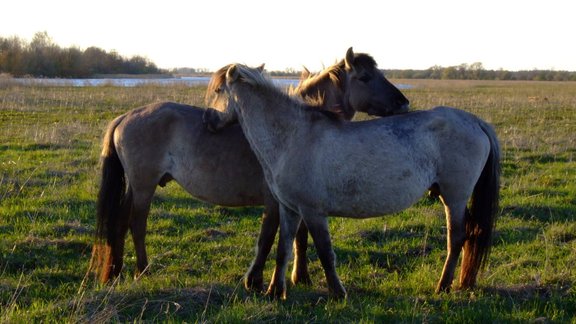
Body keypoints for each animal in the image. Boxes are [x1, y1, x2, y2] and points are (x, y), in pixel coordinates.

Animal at [91, 47, 410, 288]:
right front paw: (256, 281)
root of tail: (126, 117)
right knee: (137, 224)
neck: (289, 127)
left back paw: (115, 272)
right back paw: (142, 271)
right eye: (365, 77)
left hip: (135, 187)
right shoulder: (276, 201)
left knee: (120, 222)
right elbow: (269, 238)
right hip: (144, 186)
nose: (403, 102)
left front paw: (300, 277)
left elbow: (300, 237)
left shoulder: (298, 199)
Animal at [205, 58, 502, 298]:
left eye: (218, 90)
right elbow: (283, 249)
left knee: (457, 238)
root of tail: (475, 121)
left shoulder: (313, 212)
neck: (293, 135)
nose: (208, 119)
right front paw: (275, 292)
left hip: (455, 197)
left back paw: (443, 286)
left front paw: (338, 293)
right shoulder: (289, 209)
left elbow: (325, 252)